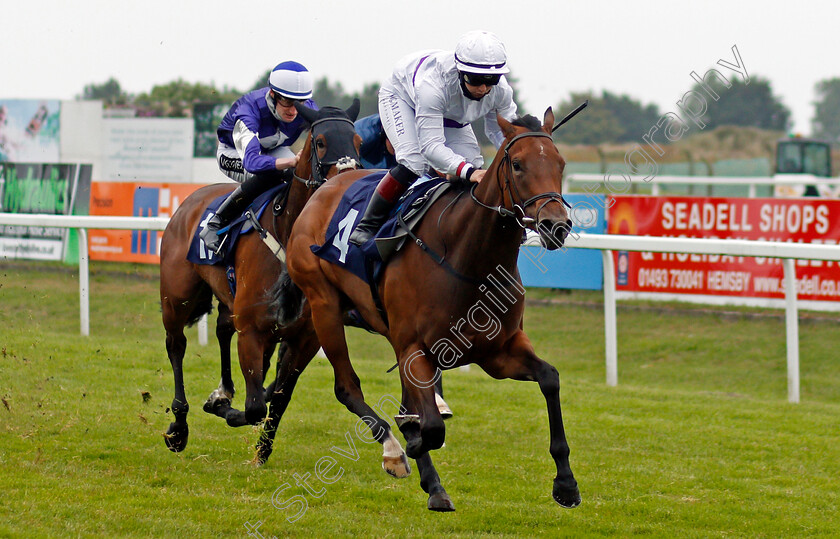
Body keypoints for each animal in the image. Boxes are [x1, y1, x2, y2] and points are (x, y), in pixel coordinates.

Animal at [159, 100, 362, 456]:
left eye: (358, 142)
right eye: (321, 142)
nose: (346, 183)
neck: (288, 231)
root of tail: (187, 204)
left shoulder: (305, 337)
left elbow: (277, 398)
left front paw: (260, 449)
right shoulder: (253, 329)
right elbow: (254, 407)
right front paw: (221, 408)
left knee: (222, 330)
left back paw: (223, 391)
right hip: (176, 298)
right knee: (176, 346)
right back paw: (179, 426)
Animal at [282, 108, 584, 510]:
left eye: (560, 163)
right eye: (518, 165)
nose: (556, 225)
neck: (468, 259)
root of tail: (327, 186)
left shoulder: (498, 352)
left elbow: (550, 378)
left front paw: (566, 483)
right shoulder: (414, 350)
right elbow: (431, 428)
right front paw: (413, 448)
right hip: (324, 306)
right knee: (347, 388)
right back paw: (396, 452)